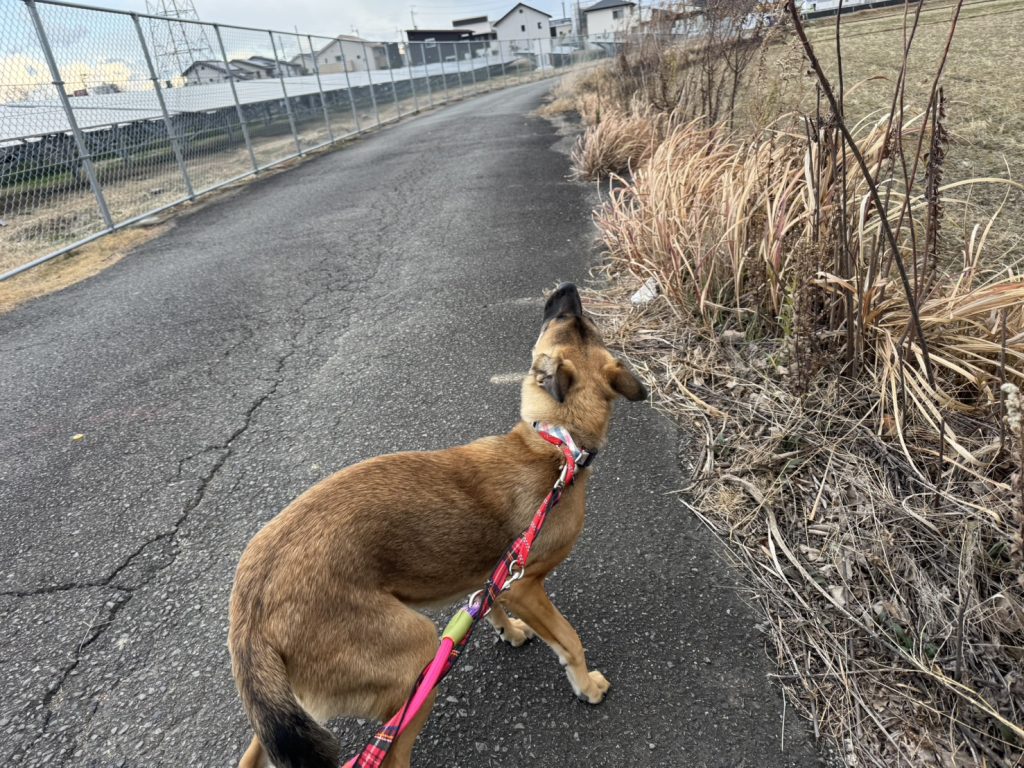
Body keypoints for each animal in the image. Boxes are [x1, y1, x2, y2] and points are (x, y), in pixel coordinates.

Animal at [229, 282, 647, 768]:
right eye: (573, 321)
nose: (567, 287)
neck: (556, 444)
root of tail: (251, 619)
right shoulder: (526, 585)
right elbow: (570, 640)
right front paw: (586, 685)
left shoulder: (496, 577)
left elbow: (485, 604)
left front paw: (506, 630)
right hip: (415, 656)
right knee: (390, 753)